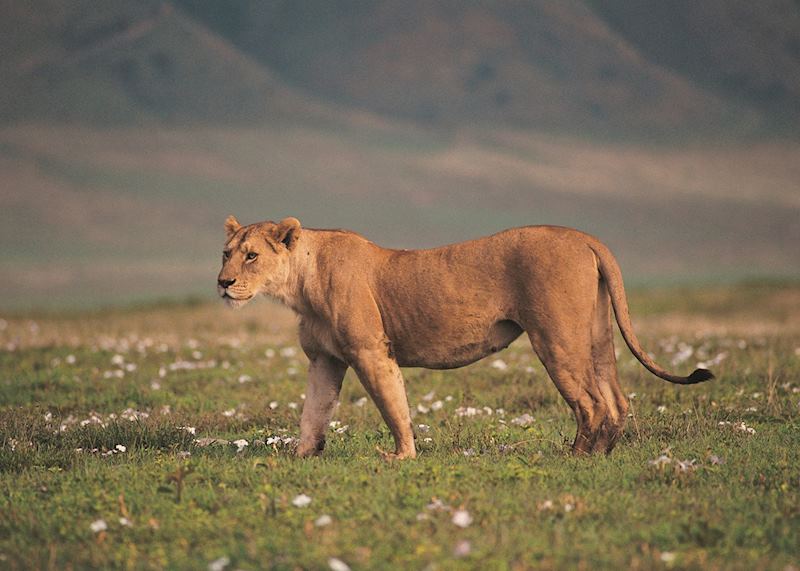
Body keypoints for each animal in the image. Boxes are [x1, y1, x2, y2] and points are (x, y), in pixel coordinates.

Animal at [217, 216, 713, 459]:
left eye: (252, 256)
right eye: (225, 254)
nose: (222, 283)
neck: (301, 284)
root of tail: (587, 238)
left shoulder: (369, 351)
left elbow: (393, 407)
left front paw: (402, 457)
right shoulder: (325, 360)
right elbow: (313, 414)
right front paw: (300, 457)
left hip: (557, 337)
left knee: (591, 402)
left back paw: (576, 456)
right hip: (595, 334)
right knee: (617, 398)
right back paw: (604, 453)